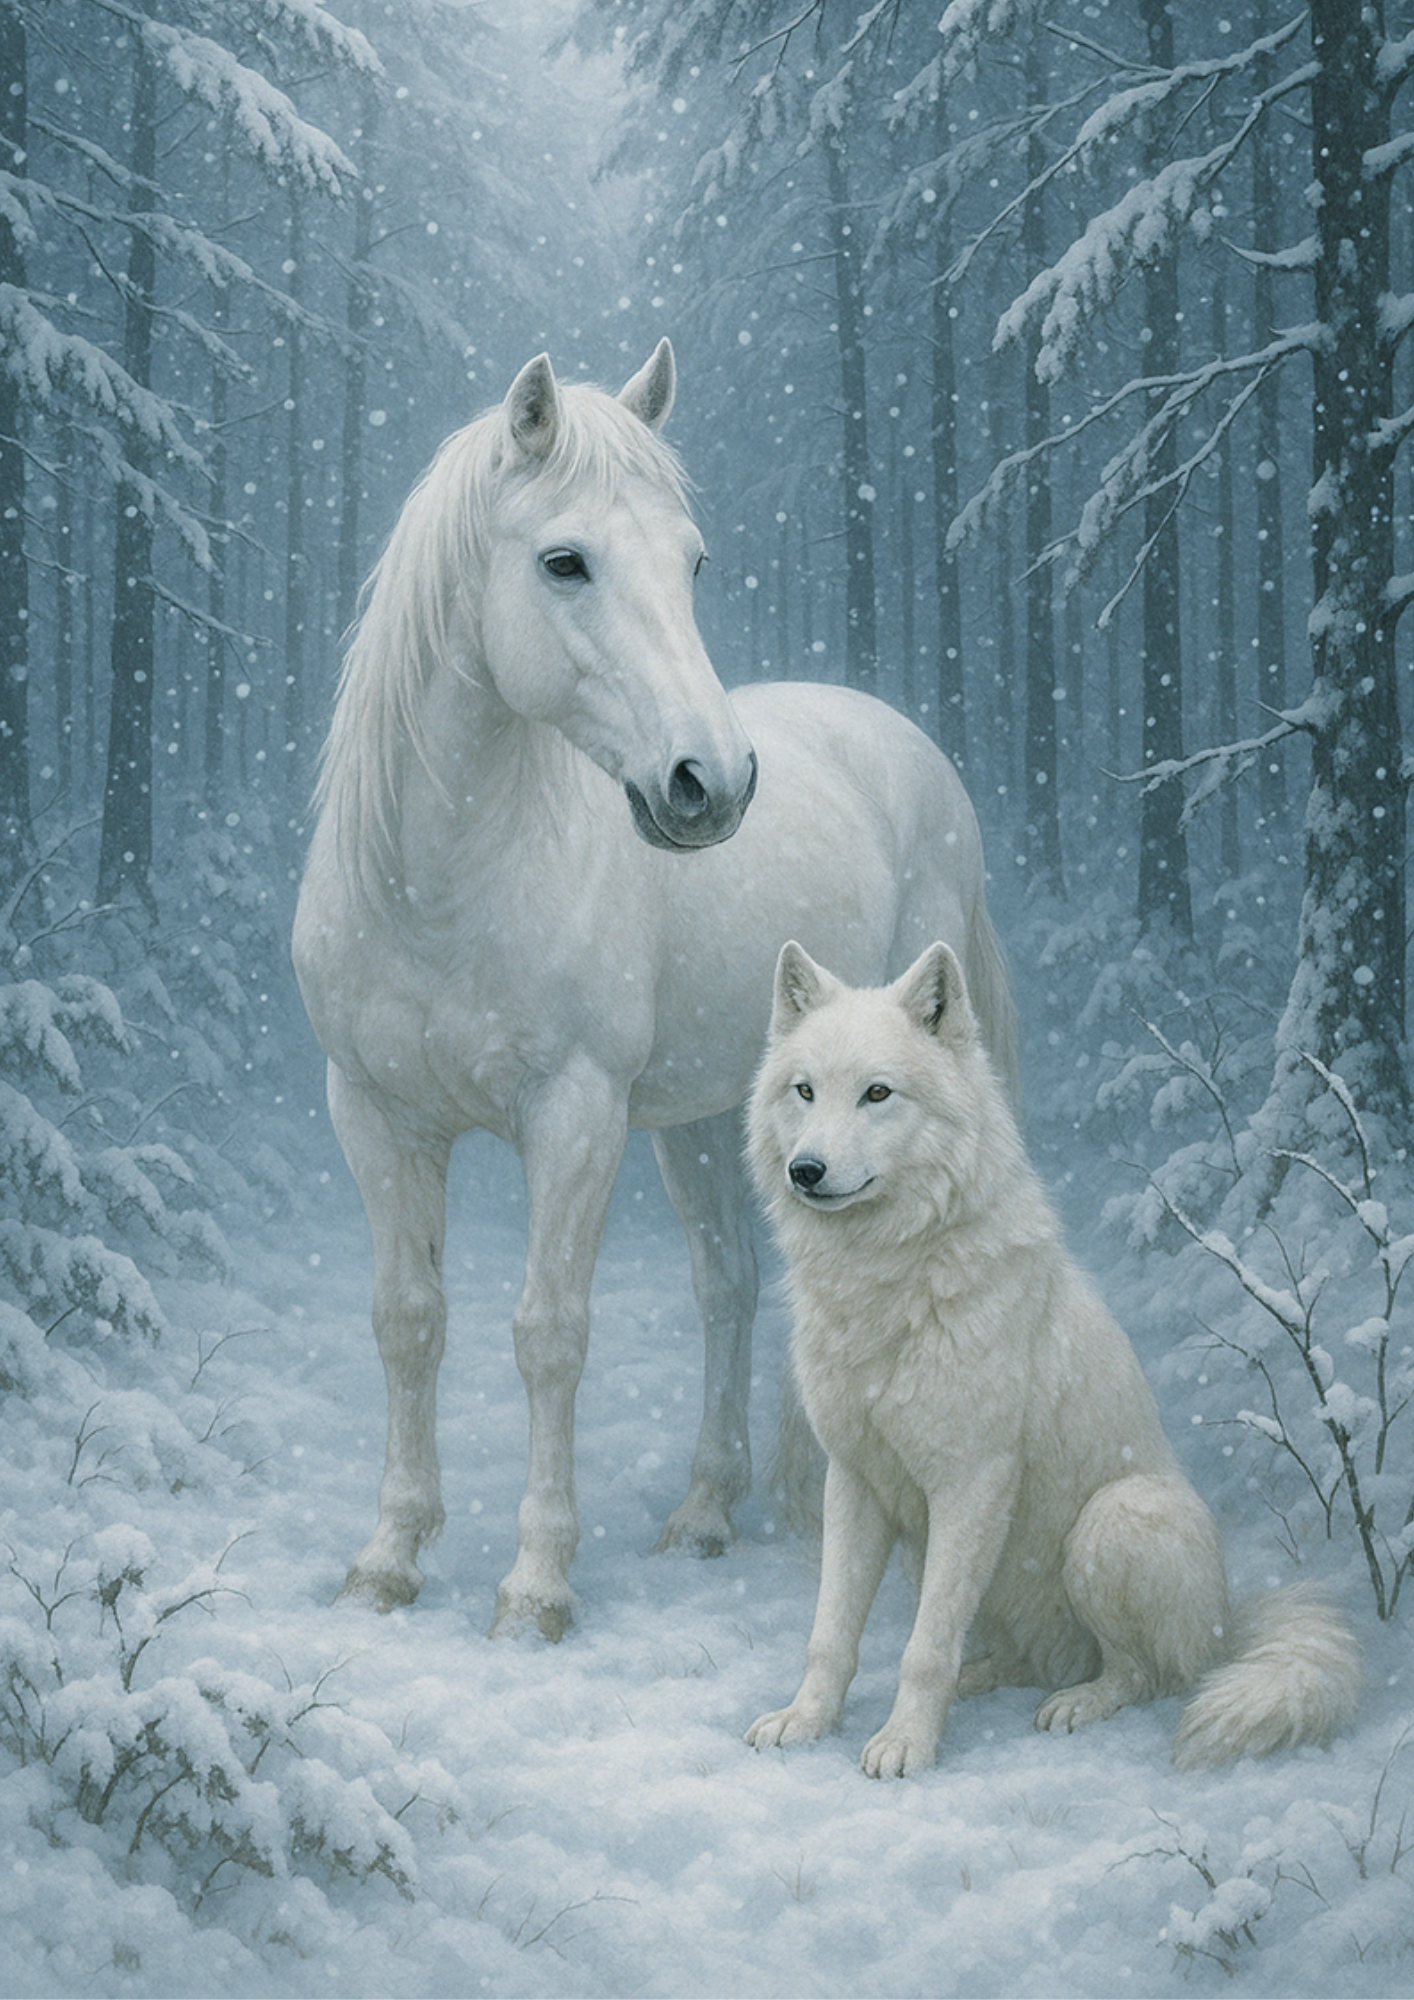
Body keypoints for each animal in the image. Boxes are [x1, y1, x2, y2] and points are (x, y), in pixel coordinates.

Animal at [293, 340, 1018, 1640]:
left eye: (692, 561)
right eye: (563, 561)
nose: (711, 783)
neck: (441, 889)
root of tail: (898, 738)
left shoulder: (573, 1116)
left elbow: (547, 1331)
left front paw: (534, 1585)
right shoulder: (374, 1113)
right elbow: (407, 1319)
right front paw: (388, 1557)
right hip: (704, 1117)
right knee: (729, 1286)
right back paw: (707, 1510)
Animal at [744, 941, 1361, 1779]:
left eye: (877, 1094)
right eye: (804, 1091)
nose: (805, 1170)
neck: (888, 1280)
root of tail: (1229, 1622)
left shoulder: (971, 1481)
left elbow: (922, 1649)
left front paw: (905, 1744)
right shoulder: (856, 1480)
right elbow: (832, 1633)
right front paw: (806, 1722)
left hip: (1115, 1519)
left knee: (1146, 1676)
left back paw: (1076, 1703)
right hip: (947, 1557)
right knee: (1015, 1655)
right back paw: (988, 1678)